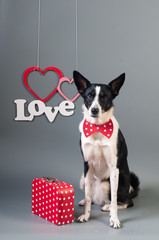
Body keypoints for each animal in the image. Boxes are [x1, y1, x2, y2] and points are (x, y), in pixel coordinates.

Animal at [73, 71, 139, 229]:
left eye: (104, 97)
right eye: (89, 96)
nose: (94, 110)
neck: (98, 127)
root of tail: (131, 190)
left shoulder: (114, 168)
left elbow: (114, 200)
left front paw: (114, 219)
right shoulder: (87, 165)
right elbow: (88, 195)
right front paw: (85, 215)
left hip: (112, 184)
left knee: (126, 202)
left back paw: (108, 206)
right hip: (83, 179)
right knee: (91, 196)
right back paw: (87, 202)